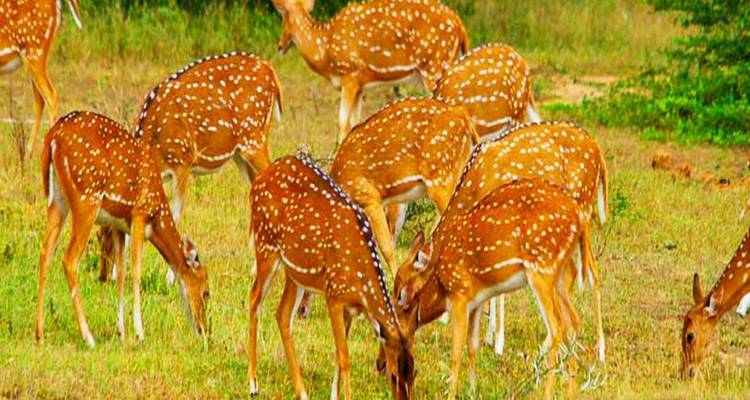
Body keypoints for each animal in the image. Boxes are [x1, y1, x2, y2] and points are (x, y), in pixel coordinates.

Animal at [37, 111, 209, 347]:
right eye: (206, 292)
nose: (204, 329)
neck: (157, 215)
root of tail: (52, 137)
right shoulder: (139, 215)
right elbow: (135, 272)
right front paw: (139, 332)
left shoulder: (118, 226)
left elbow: (120, 273)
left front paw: (121, 331)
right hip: (86, 197)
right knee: (69, 260)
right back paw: (88, 337)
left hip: (57, 199)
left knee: (45, 253)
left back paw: (39, 333)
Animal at [98, 51, 282, 285]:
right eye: (97, 236)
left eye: (109, 237)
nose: (104, 277)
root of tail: (270, 69)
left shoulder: (183, 162)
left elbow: (175, 216)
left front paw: (170, 278)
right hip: (240, 153)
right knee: (255, 186)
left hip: (254, 136)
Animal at [248, 152, 415, 400]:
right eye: (393, 375)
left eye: (414, 374)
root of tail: (257, 180)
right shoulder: (334, 295)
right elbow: (344, 357)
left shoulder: (350, 309)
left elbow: (337, 354)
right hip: (265, 245)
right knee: (254, 299)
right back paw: (253, 384)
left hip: (295, 273)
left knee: (282, 315)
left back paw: (302, 391)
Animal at [270, 0, 469, 144]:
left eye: (283, 16)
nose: (280, 45)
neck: (325, 51)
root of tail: (460, 24)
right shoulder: (360, 85)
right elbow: (355, 122)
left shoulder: (350, 75)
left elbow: (342, 121)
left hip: (434, 64)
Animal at [394, 178, 588, 399]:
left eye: (401, 293)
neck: (440, 285)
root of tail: (580, 219)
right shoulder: (477, 299)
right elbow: (472, 345)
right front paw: (472, 391)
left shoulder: (460, 294)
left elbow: (456, 349)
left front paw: (451, 392)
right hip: (560, 278)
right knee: (573, 324)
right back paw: (571, 390)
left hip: (542, 270)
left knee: (556, 328)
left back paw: (546, 393)